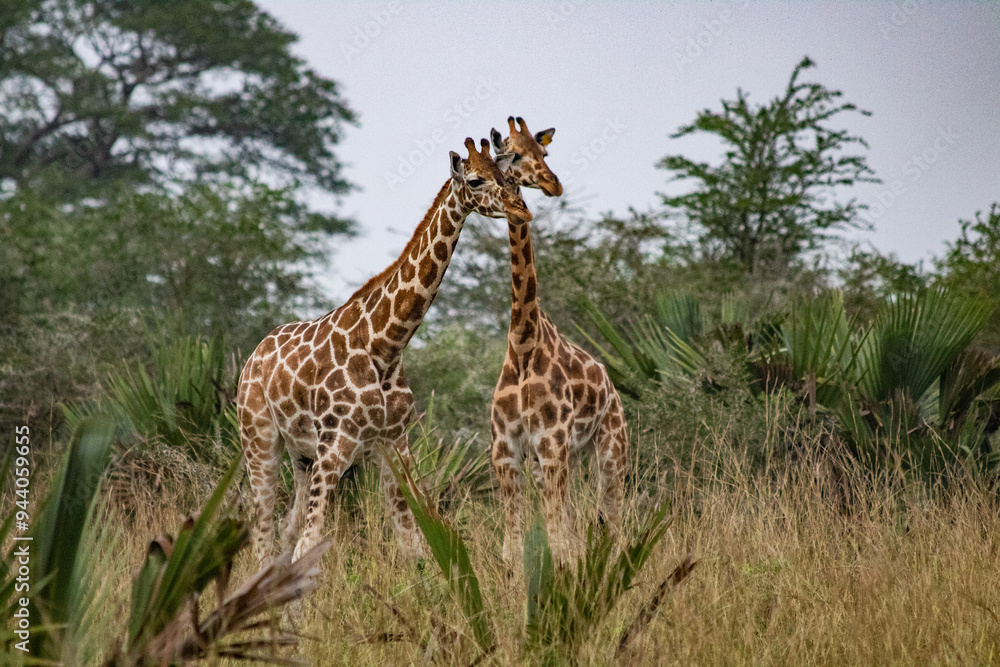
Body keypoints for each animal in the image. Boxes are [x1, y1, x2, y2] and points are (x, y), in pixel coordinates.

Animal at [237, 137, 531, 565]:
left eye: (507, 175)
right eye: (475, 180)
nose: (521, 208)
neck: (386, 345)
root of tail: (253, 356)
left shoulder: (394, 446)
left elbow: (415, 548)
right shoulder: (335, 445)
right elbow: (310, 546)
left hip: (301, 457)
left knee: (284, 529)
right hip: (259, 439)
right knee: (263, 533)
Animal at [488, 117, 629, 563]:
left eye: (544, 152)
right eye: (511, 153)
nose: (554, 184)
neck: (522, 343)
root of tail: (612, 384)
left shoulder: (551, 444)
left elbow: (556, 540)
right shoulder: (507, 450)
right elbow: (513, 547)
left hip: (611, 447)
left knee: (612, 522)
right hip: (551, 460)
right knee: (574, 524)